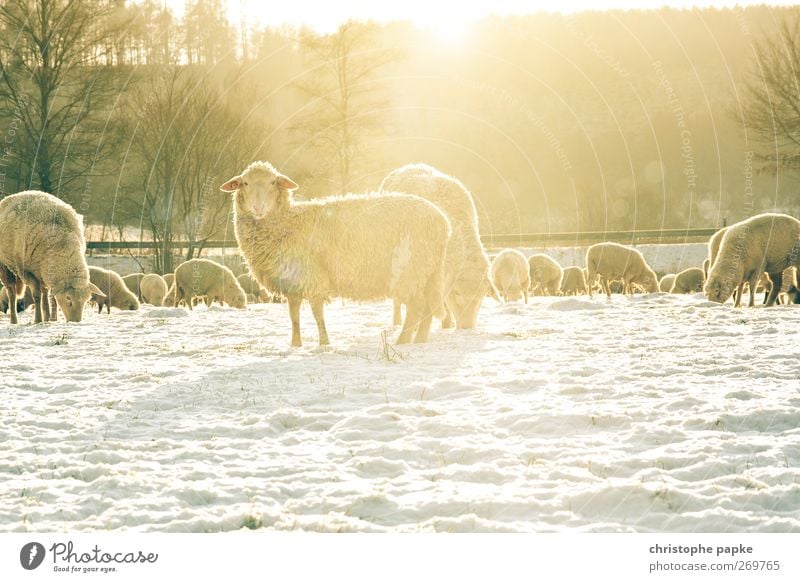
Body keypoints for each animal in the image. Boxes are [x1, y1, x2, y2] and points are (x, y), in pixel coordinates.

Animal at [0, 193, 104, 324]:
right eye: (68, 298)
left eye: (86, 300)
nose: (75, 322)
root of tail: (9, 197)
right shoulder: (26, 271)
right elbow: (37, 296)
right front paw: (38, 320)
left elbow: (52, 297)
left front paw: (52, 319)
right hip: (5, 265)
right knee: (11, 292)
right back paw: (14, 320)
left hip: (42, 270)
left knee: (45, 293)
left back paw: (48, 317)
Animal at [219, 160, 450, 346]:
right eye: (245, 183)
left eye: (273, 182)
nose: (258, 207)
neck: (287, 223)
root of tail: (442, 221)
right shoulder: (292, 282)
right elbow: (294, 316)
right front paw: (295, 346)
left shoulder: (311, 277)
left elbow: (317, 314)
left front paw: (324, 343)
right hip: (427, 270)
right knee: (427, 306)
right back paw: (420, 340)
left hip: (410, 268)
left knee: (416, 307)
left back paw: (403, 341)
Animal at [382, 162, 500, 330]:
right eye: (457, 293)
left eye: (481, 296)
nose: (467, 327)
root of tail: (409, 166)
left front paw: (447, 323)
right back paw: (398, 322)